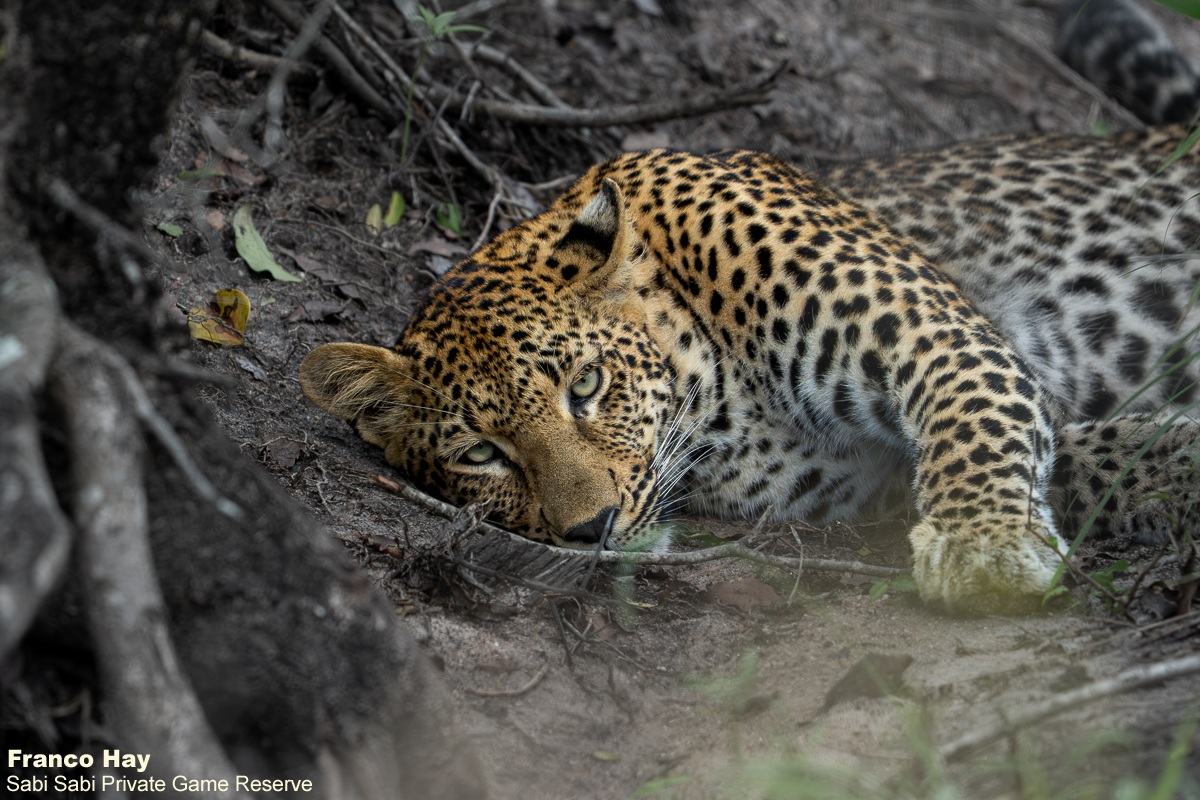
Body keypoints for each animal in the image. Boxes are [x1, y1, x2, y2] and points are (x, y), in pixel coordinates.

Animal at [301, 3, 1200, 615]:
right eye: (481, 454)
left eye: (586, 386)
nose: (591, 530)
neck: (719, 400)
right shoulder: (871, 479)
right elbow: (1083, 452)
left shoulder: (933, 332)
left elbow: (974, 421)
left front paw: (987, 546)